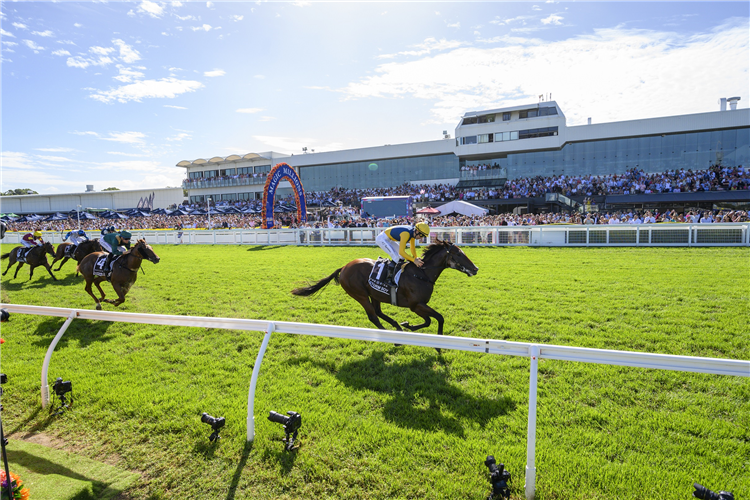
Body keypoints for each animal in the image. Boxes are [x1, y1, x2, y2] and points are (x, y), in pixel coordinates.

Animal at [290, 239, 478, 336]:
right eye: (459, 253)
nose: (475, 268)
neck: (421, 274)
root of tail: (344, 267)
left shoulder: (419, 305)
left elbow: (429, 320)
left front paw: (407, 325)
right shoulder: (415, 305)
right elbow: (437, 318)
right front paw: (438, 344)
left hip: (375, 294)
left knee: (378, 312)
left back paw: (396, 327)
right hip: (360, 294)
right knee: (373, 316)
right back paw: (391, 336)